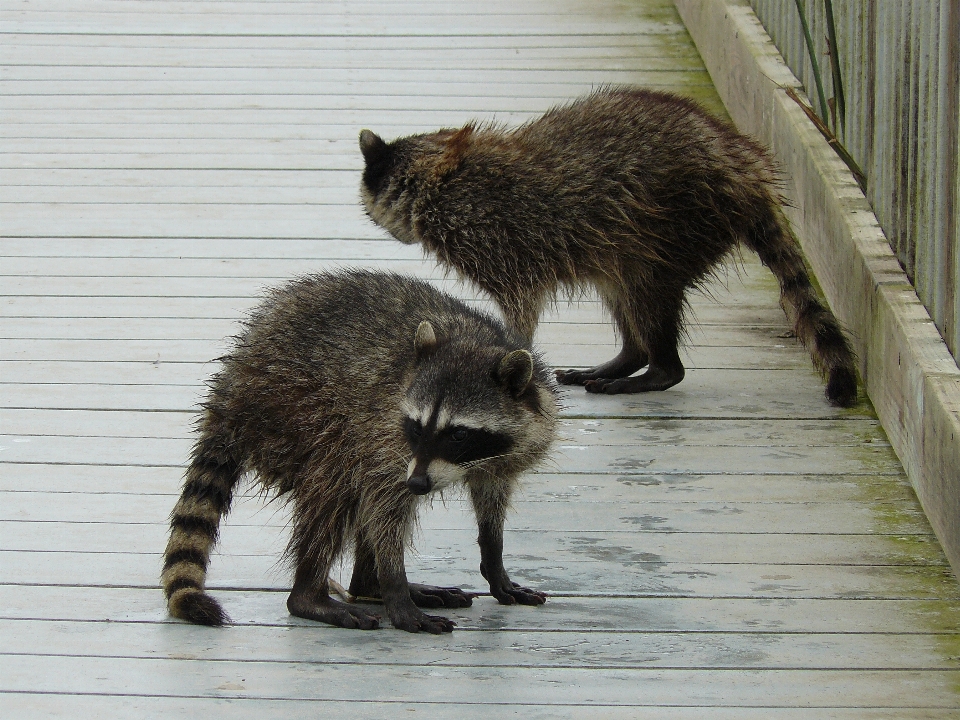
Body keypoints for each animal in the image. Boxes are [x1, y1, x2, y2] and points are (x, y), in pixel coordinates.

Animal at [161, 268, 560, 632]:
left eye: (459, 434)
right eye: (417, 427)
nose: (418, 483)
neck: (473, 341)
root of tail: (234, 378)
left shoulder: (505, 450)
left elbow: (491, 495)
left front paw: (494, 558)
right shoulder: (385, 430)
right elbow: (385, 503)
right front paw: (395, 585)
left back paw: (368, 583)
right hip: (289, 405)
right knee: (337, 480)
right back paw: (312, 595)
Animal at [360, 86, 864, 404]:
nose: (374, 221)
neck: (434, 180)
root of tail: (745, 167)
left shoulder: (499, 238)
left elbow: (523, 311)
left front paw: (514, 352)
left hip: (676, 222)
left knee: (646, 293)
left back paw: (657, 368)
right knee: (621, 291)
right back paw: (630, 357)